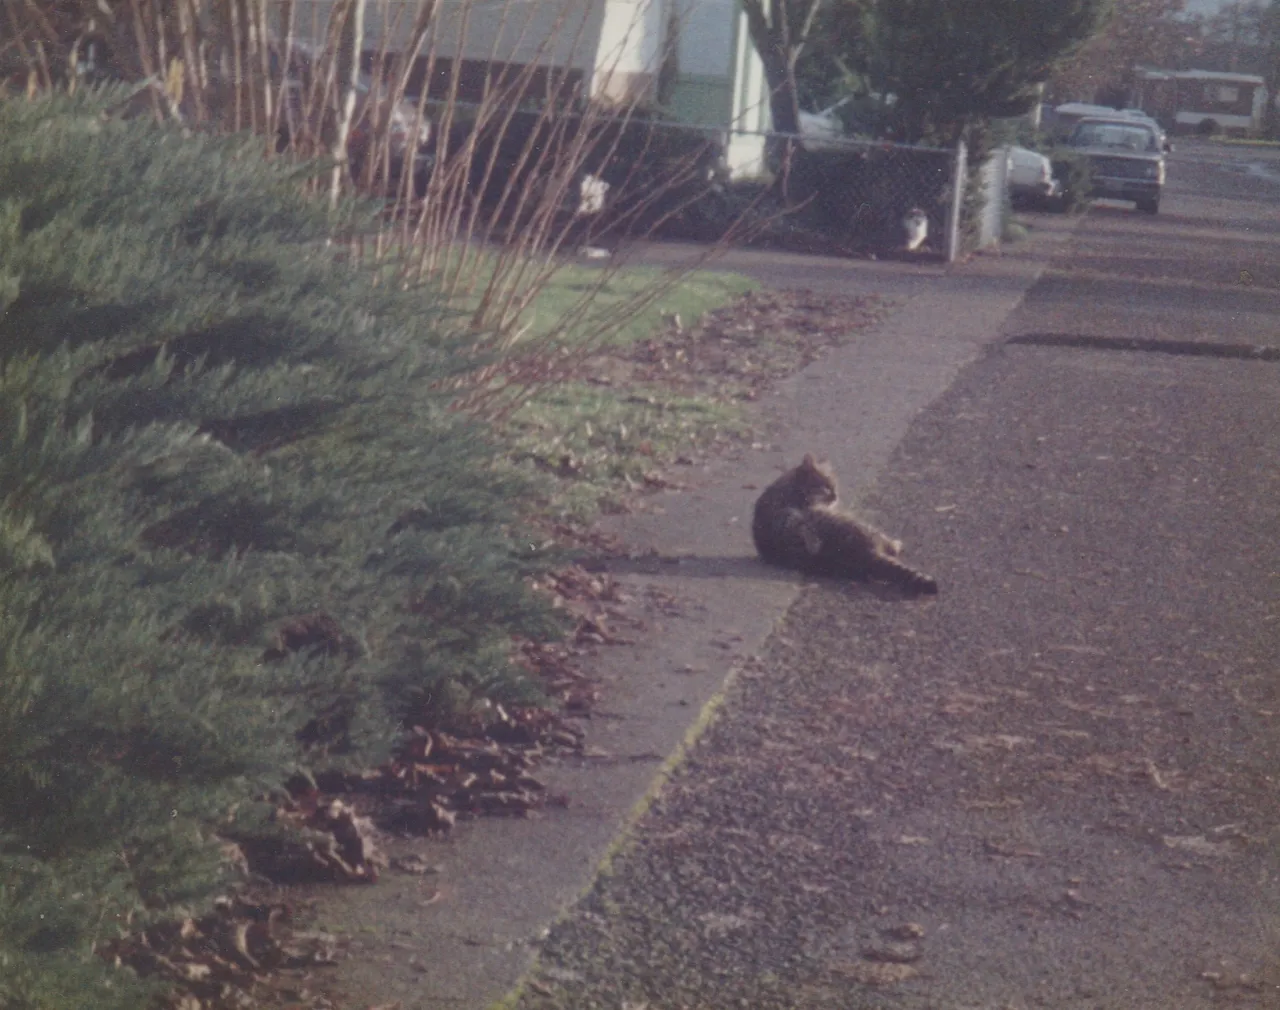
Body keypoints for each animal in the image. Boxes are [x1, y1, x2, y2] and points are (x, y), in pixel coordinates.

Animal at [747, 455, 942, 593]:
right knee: (889, 547)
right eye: (826, 487)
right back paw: (895, 544)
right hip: (861, 527)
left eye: (835, 485)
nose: (836, 495)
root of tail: (866, 554)